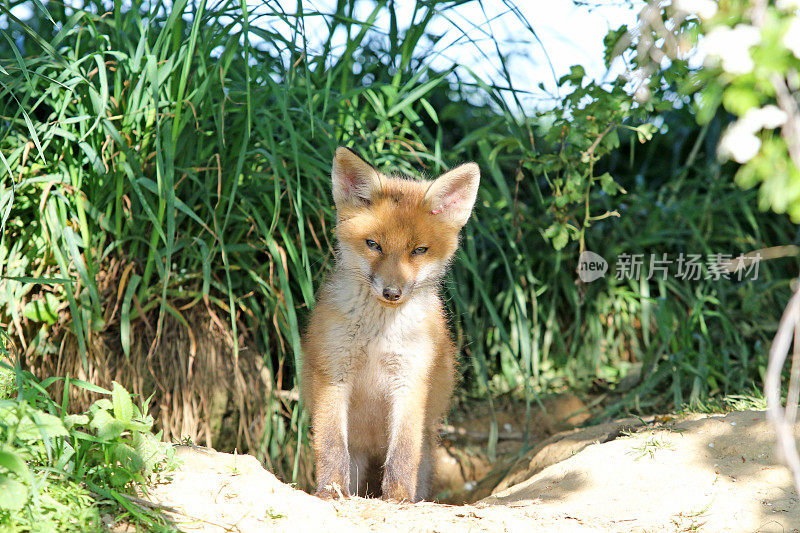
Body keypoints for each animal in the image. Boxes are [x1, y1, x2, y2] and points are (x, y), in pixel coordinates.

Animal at [298, 147, 476, 502]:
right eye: (373, 245)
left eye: (418, 250)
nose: (392, 293)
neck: (377, 337)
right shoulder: (333, 375)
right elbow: (331, 447)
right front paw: (331, 493)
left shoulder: (410, 380)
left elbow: (402, 455)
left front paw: (398, 499)